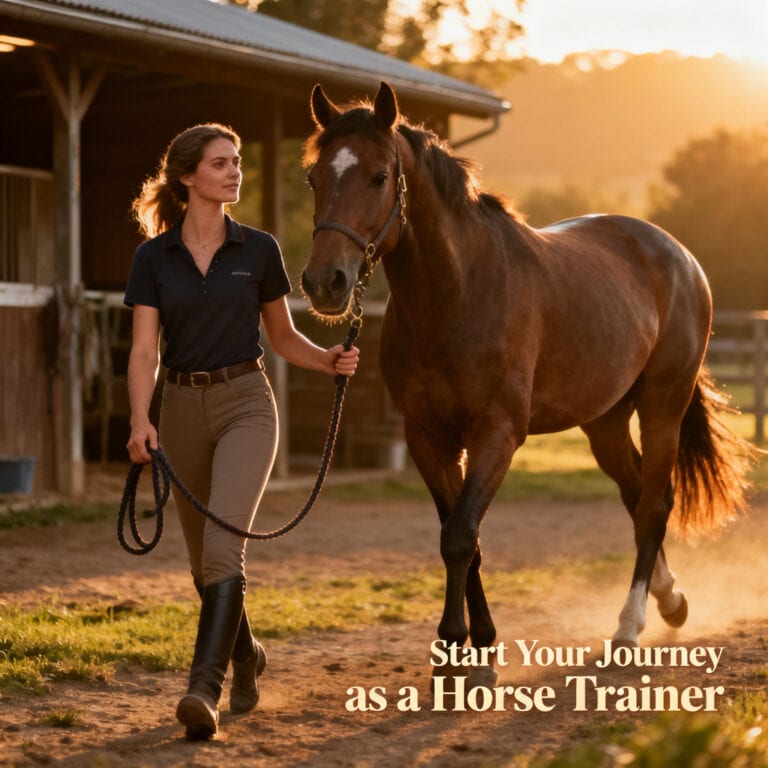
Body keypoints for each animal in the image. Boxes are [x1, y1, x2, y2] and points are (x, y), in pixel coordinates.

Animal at [300, 81, 755, 683]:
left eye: (378, 176)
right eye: (314, 178)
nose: (323, 283)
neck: (458, 294)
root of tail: (678, 255)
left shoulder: (497, 434)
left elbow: (460, 537)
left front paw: (458, 651)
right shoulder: (428, 439)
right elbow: (462, 536)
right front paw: (477, 647)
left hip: (663, 408)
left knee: (655, 507)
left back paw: (629, 627)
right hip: (605, 423)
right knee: (636, 496)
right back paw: (670, 600)